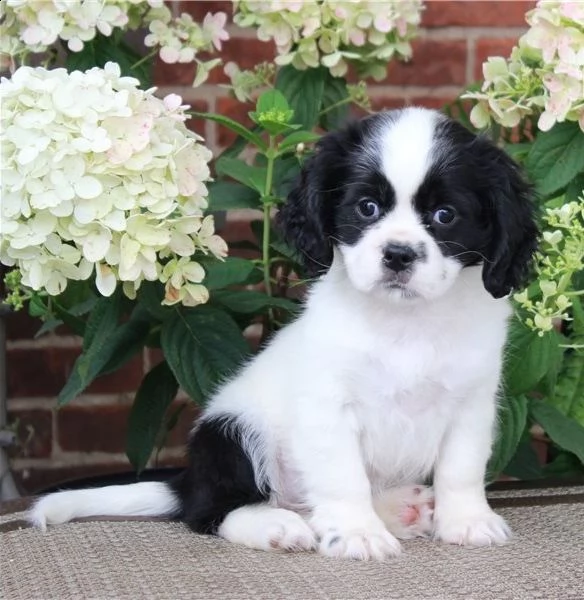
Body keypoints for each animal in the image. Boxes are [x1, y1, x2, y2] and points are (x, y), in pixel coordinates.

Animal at [28, 109, 540, 564]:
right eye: (367, 208)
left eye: (445, 215)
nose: (398, 254)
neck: (404, 322)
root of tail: (189, 480)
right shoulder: (328, 407)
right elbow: (343, 476)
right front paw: (357, 533)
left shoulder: (472, 403)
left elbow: (461, 468)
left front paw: (467, 521)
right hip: (232, 430)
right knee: (211, 511)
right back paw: (276, 524)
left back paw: (397, 510)